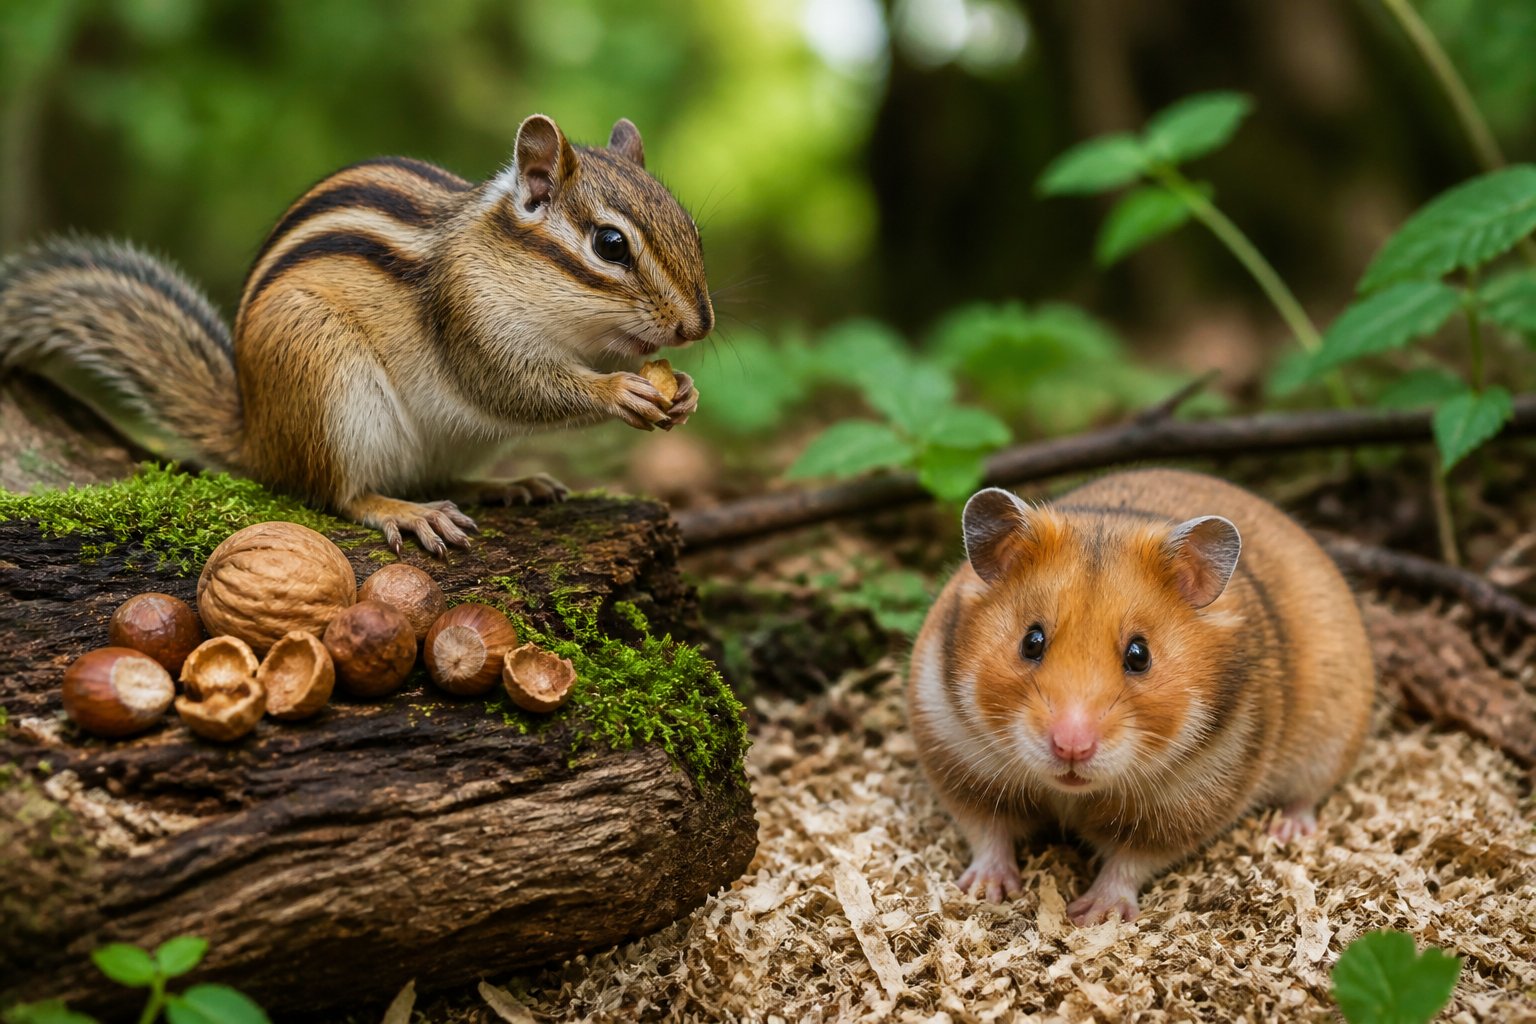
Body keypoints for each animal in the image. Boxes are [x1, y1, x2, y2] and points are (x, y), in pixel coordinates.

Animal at [0, 115, 712, 556]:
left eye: (692, 231)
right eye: (611, 244)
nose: (698, 326)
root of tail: (258, 436)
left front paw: (684, 392)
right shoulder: (469, 320)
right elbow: (512, 387)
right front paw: (621, 391)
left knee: (432, 475)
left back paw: (503, 487)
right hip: (327, 384)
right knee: (336, 493)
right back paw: (404, 511)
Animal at [908, 468, 1375, 925]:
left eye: (1139, 655)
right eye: (1031, 642)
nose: (1071, 747)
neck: (1072, 794)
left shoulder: (1191, 800)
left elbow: (1130, 860)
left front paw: (1093, 916)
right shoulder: (957, 758)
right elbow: (988, 832)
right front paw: (986, 891)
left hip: (1328, 743)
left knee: (1308, 796)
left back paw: (1286, 830)